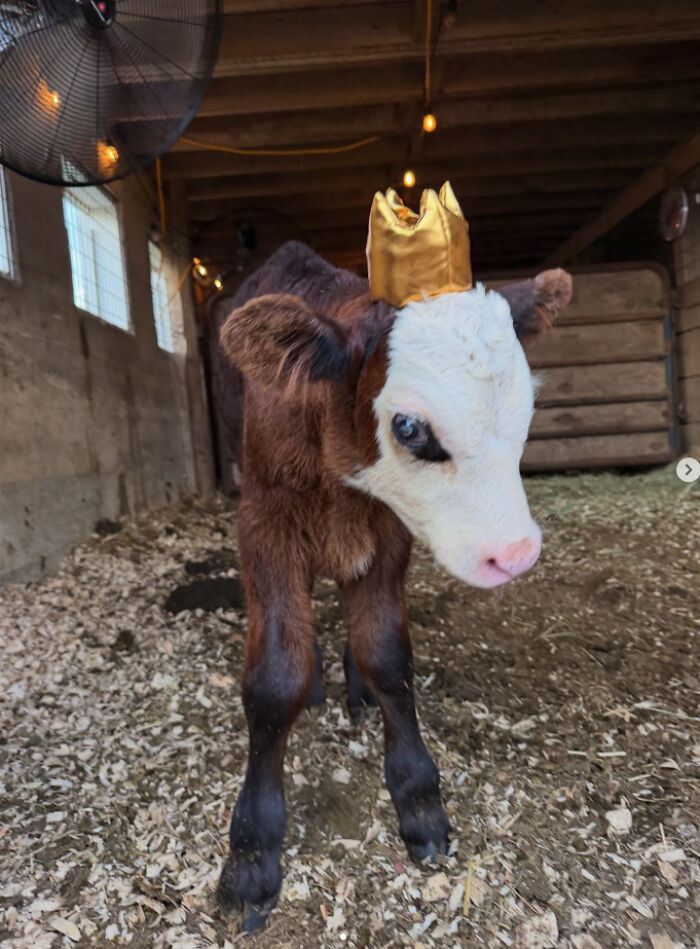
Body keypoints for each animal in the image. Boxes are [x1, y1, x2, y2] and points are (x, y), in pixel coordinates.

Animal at [214, 238, 572, 931]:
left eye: (526, 407)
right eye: (409, 428)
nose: (516, 552)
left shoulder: (387, 535)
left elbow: (388, 654)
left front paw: (419, 799)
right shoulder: (263, 524)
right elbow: (275, 679)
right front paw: (251, 850)